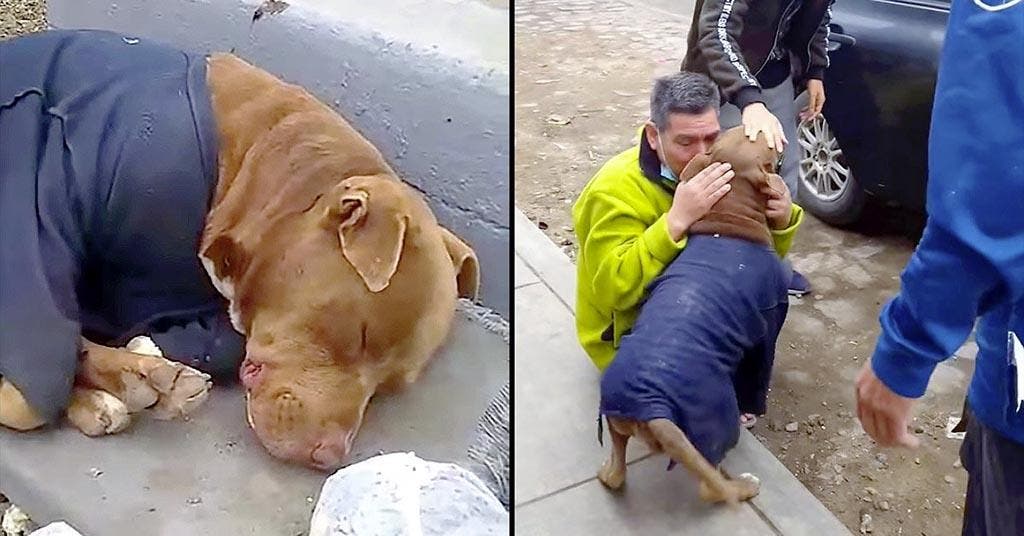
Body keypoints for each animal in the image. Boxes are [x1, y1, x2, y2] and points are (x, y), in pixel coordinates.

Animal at [0, 30, 479, 473]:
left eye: (390, 383)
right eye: (360, 336)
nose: (329, 456)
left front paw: (139, 363)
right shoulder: (34, 211)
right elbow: (33, 376)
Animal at [598, 128, 790, 506]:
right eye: (765, 143)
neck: (729, 219)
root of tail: (652, 409)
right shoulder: (768, 327)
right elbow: (759, 375)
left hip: (615, 425)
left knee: (616, 473)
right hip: (716, 423)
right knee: (710, 485)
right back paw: (744, 486)